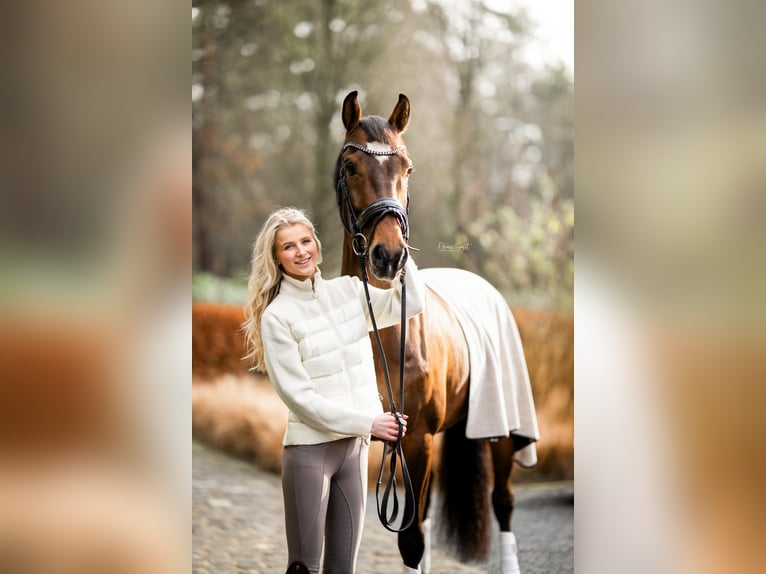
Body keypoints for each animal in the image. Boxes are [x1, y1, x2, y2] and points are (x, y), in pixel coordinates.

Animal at [333, 90, 538, 574]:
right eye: (351, 166)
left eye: (407, 168)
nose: (388, 255)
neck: (385, 330)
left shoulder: (418, 438)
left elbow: (411, 540)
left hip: (505, 432)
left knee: (503, 503)